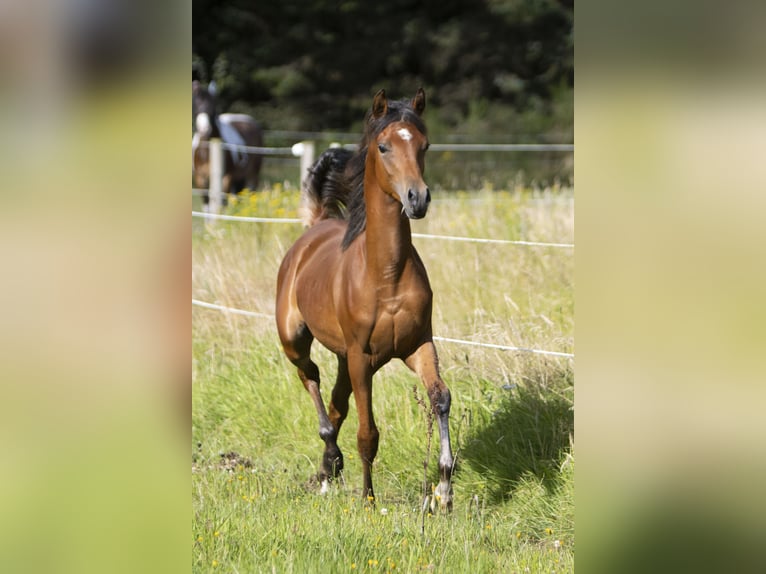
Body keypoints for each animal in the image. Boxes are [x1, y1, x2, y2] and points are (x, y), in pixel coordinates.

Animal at [192, 80, 264, 208]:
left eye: (213, 106)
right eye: (196, 105)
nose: (204, 129)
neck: (206, 152)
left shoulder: (227, 178)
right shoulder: (200, 179)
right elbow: (207, 206)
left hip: (251, 176)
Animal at [276, 89, 456, 512]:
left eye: (424, 145)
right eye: (384, 146)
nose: (417, 199)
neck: (384, 275)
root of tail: (317, 225)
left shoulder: (418, 345)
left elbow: (440, 397)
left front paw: (444, 490)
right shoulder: (361, 356)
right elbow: (368, 432)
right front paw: (369, 501)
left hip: (345, 358)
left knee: (336, 400)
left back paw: (328, 468)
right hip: (296, 340)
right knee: (311, 377)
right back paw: (331, 456)